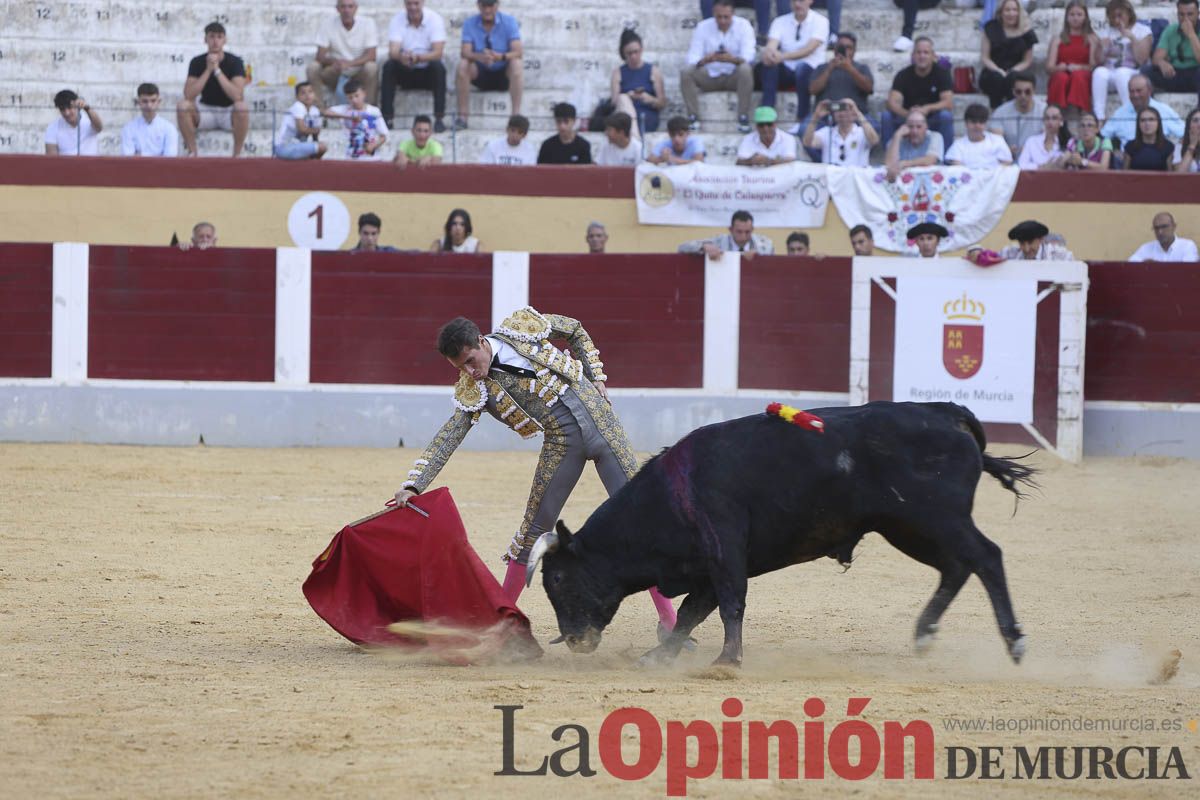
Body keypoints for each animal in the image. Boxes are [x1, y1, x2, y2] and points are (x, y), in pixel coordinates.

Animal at [528, 400, 1041, 671]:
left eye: (558, 579)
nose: (573, 639)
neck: (670, 496)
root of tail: (947, 412)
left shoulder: (725, 549)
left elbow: (730, 604)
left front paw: (727, 660)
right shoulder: (707, 565)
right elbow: (693, 612)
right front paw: (660, 656)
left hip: (937, 519)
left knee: (986, 556)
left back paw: (1015, 643)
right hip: (908, 528)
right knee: (957, 566)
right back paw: (924, 634)